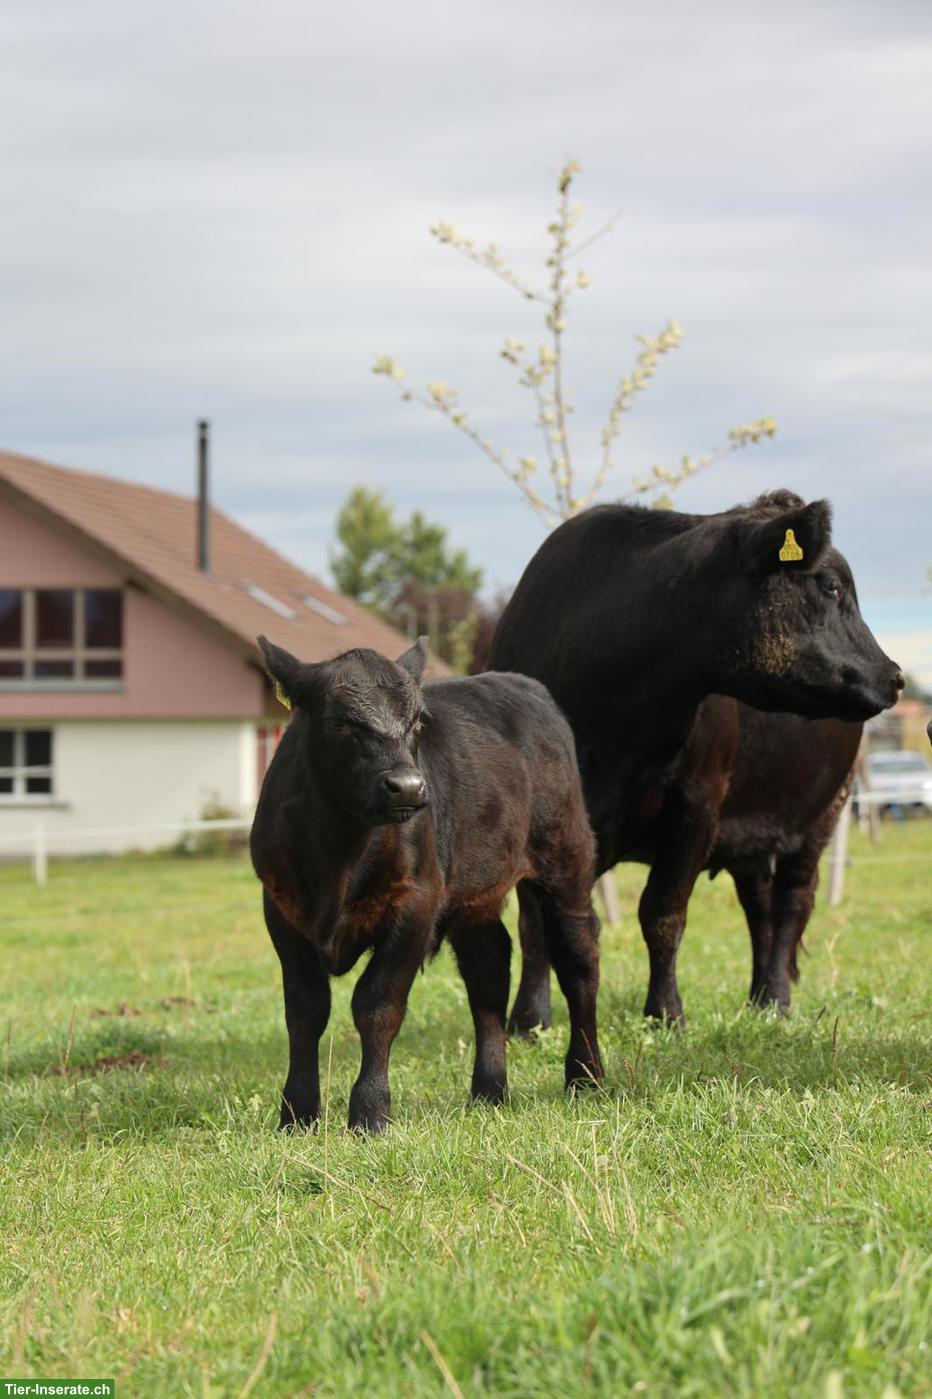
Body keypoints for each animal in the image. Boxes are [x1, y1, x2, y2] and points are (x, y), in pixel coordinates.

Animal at [250, 635, 602, 1133]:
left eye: (416, 722)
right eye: (341, 722)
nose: (409, 786)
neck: (338, 856)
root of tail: (523, 685)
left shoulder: (416, 902)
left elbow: (377, 1004)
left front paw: (371, 1112)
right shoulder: (281, 908)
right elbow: (305, 1010)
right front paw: (297, 1113)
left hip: (567, 860)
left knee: (578, 962)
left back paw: (585, 1077)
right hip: (476, 892)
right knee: (488, 971)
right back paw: (489, 1091)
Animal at [488, 490, 903, 1027]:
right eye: (830, 586)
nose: (894, 675)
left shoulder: (697, 804)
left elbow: (662, 913)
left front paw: (665, 1013)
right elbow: (535, 920)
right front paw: (530, 1018)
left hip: (822, 814)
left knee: (792, 902)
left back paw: (776, 998)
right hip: (754, 830)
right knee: (759, 906)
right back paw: (758, 1000)